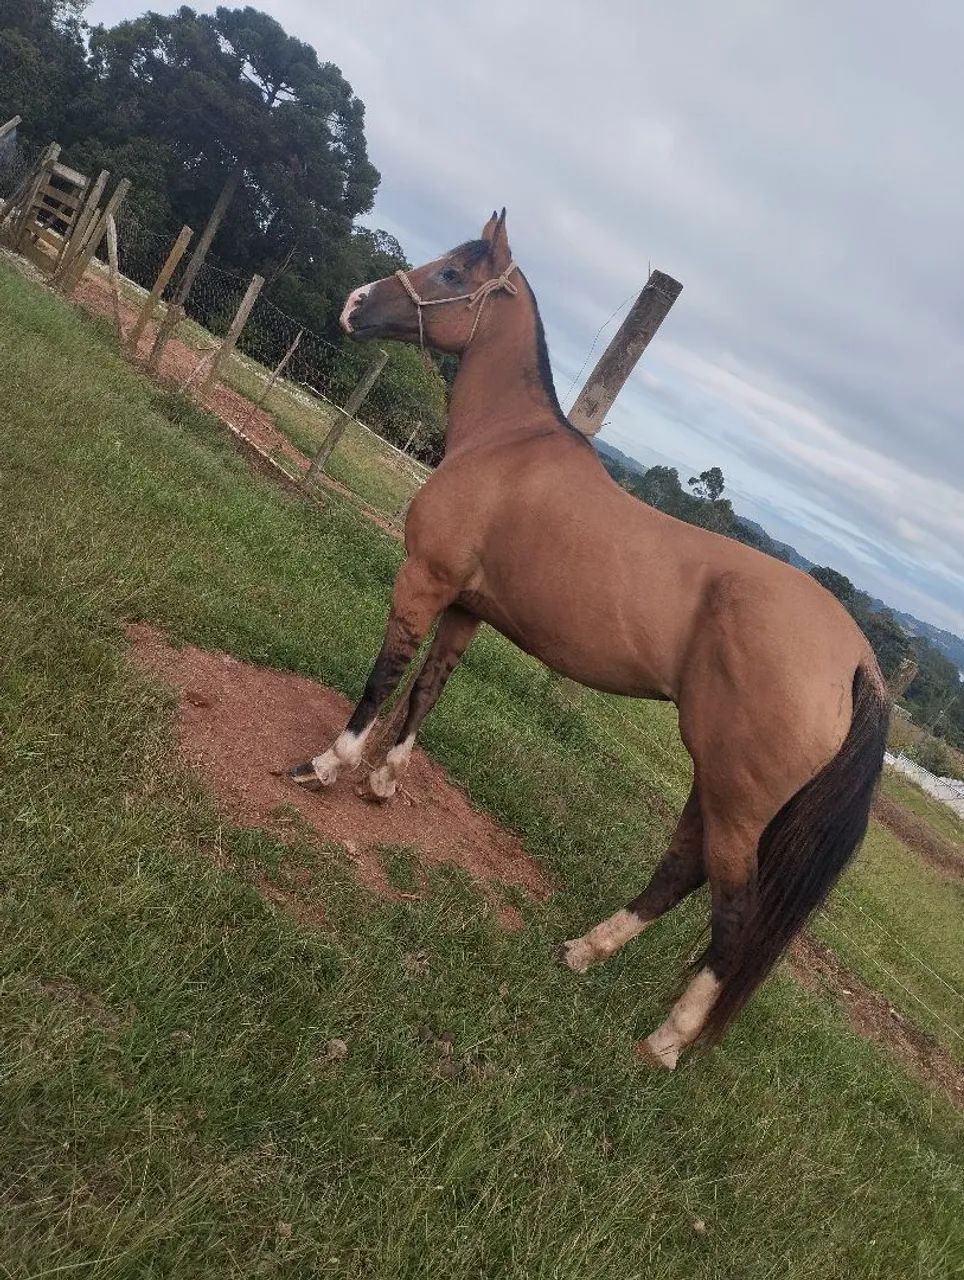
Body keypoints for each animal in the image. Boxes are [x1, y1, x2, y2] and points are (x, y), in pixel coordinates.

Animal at [290, 210, 889, 1068]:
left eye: (451, 275)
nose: (354, 303)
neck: (508, 445)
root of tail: (857, 661)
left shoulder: (424, 582)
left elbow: (386, 676)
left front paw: (329, 765)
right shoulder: (467, 608)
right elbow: (429, 688)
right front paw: (384, 783)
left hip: (739, 798)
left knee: (734, 912)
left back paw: (666, 1041)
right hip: (714, 778)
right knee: (682, 868)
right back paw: (581, 951)